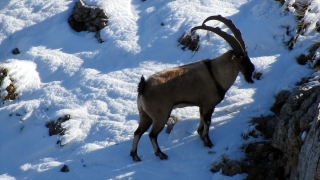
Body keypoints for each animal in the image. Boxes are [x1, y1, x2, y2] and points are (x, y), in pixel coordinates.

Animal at [129, 15, 255, 162]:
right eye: (241, 57)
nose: (252, 69)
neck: (215, 74)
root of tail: (143, 87)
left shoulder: (202, 106)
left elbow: (201, 123)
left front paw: (201, 137)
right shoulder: (208, 105)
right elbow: (207, 122)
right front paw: (208, 142)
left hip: (145, 115)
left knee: (137, 132)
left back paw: (135, 156)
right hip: (161, 115)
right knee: (152, 134)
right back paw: (161, 154)